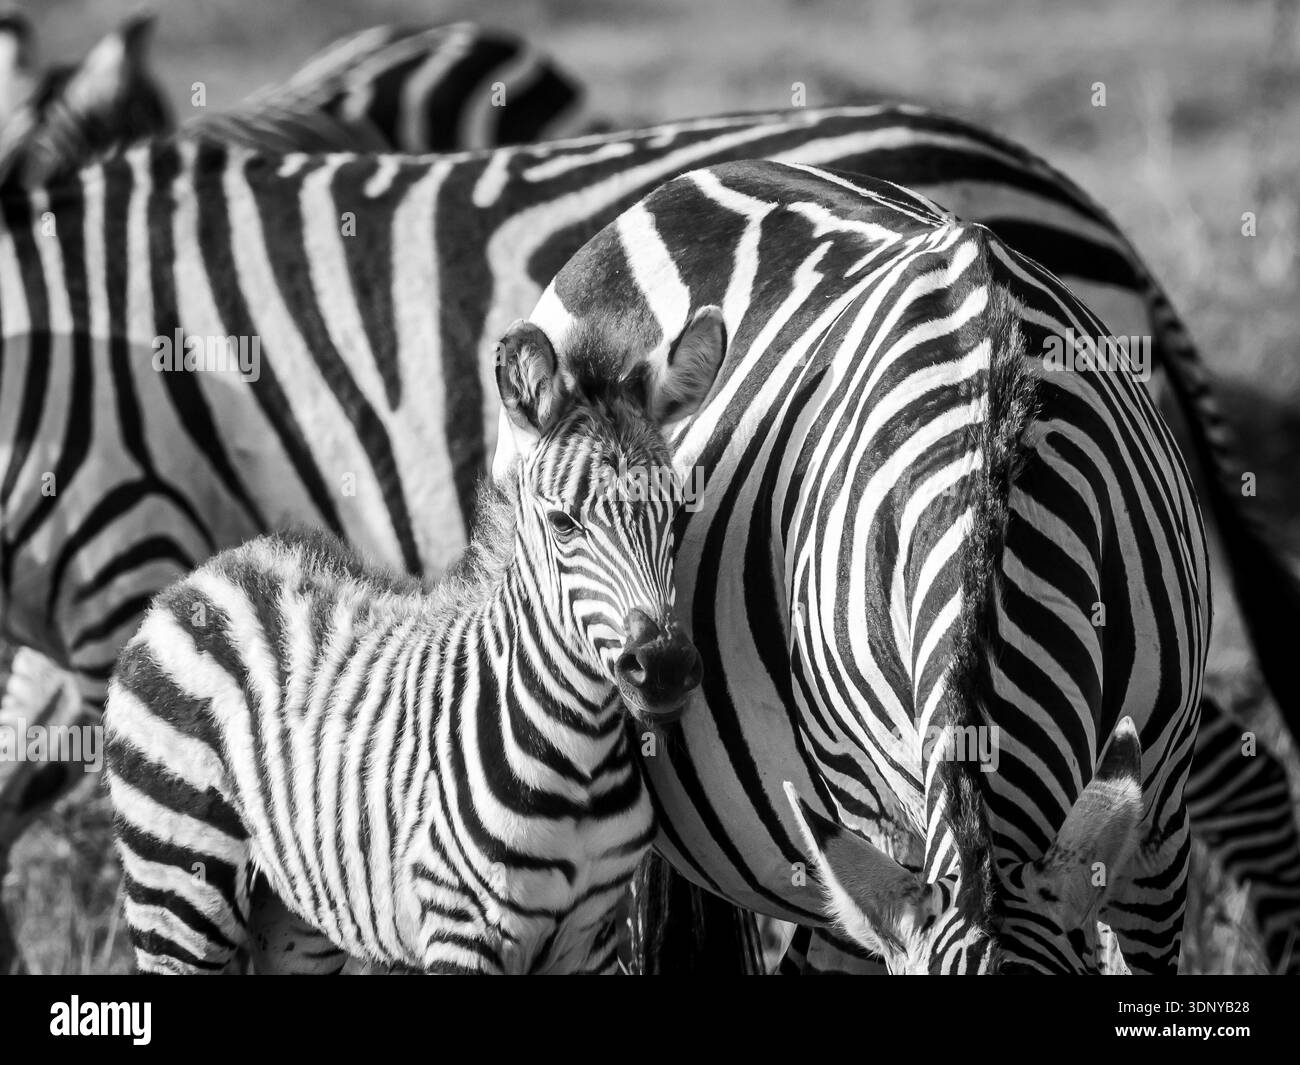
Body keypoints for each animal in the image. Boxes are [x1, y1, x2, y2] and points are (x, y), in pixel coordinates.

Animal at [103, 313, 721, 973]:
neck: (580, 758)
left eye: (678, 516)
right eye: (564, 524)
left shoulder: (592, 935)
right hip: (176, 879)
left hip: (295, 915)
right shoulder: (460, 927)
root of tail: (204, 575)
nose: (664, 666)